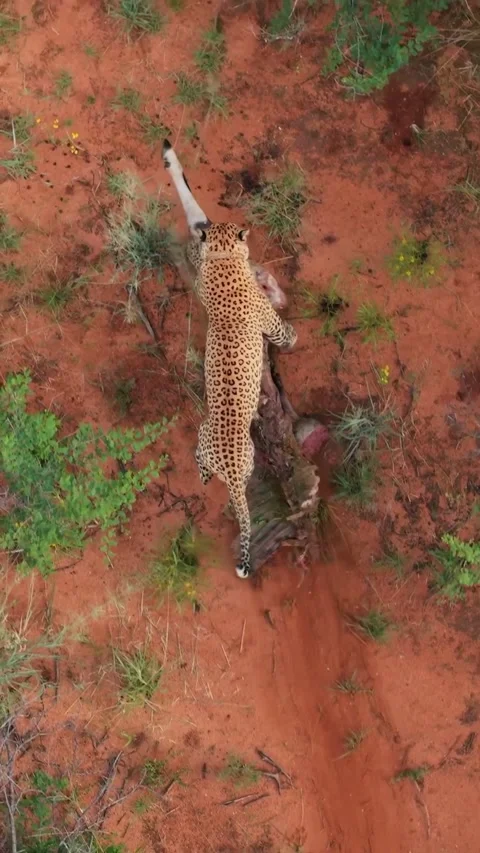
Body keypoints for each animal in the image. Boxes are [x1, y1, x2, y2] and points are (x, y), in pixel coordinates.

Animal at [163, 139, 297, 578]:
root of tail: (234, 473)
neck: (222, 260)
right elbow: (283, 332)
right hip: (237, 453)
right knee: (206, 474)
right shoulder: (268, 321)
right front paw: (295, 338)